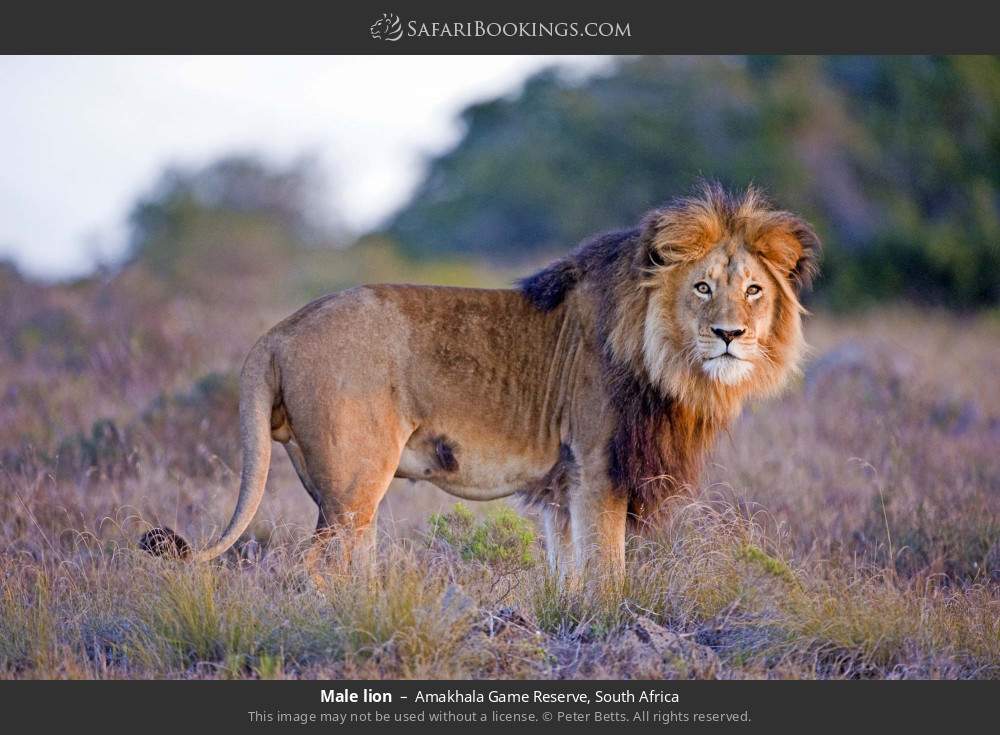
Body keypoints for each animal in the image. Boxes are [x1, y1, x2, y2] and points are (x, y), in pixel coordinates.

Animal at [141, 183, 819, 578]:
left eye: (753, 291)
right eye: (702, 287)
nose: (730, 334)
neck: (671, 364)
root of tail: (278, 331)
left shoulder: (563, 482)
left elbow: (568, 573)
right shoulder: (599, 466)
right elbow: (607, 574)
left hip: (340, 491)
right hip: (354, 480)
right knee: (311, 570)